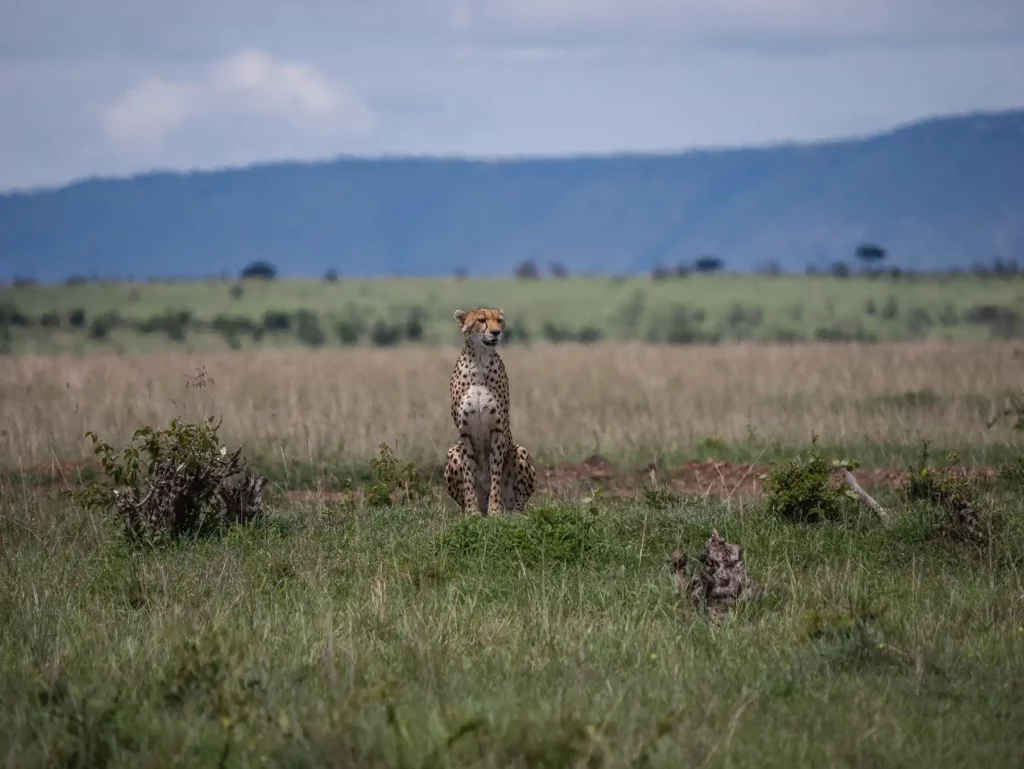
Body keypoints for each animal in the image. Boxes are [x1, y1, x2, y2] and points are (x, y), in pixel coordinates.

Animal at [443, 307, 537, 515]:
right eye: (481, 320)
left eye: (499, 320)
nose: (496, 332)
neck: (480, 360)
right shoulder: (465, 431)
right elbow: (468, 475)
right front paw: (472, 512)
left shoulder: (497, 429)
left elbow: (495, 474)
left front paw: (495, 510)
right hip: (452, 450)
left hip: (520, 451)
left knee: (519, 502)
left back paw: (512, 512)